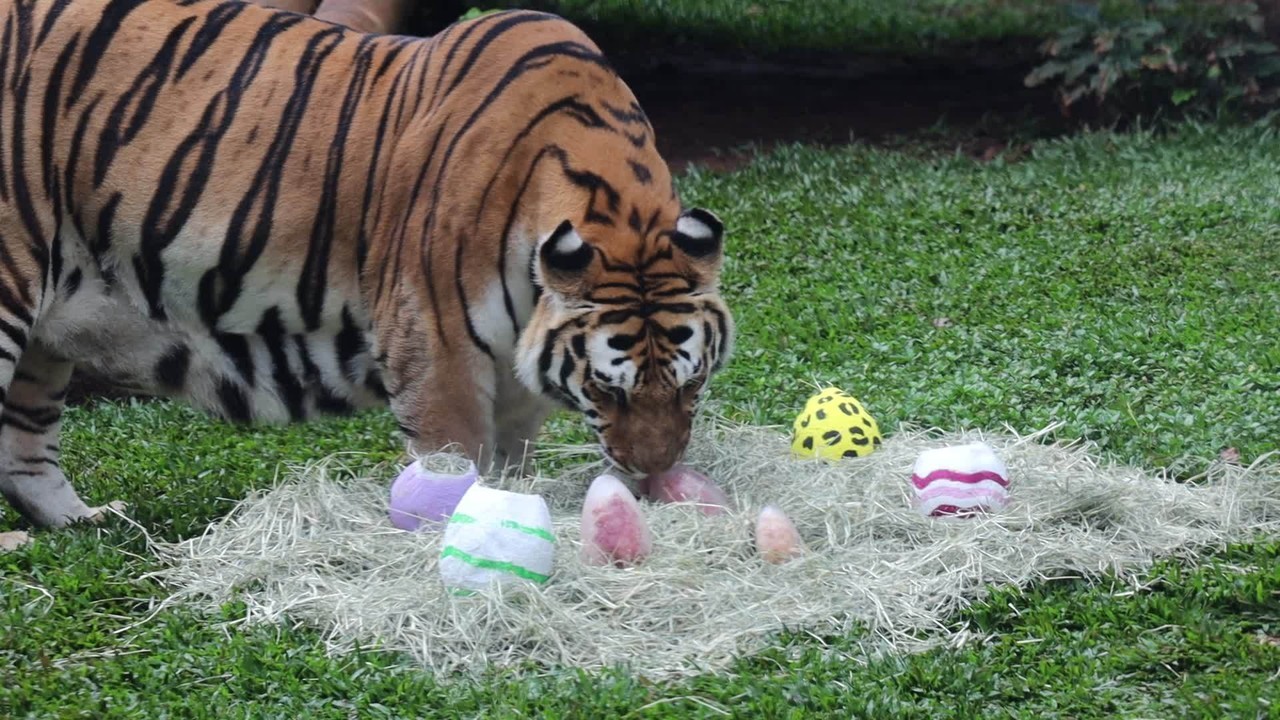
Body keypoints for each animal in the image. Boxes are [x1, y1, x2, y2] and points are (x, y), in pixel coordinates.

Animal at [0, 0, 734, 547]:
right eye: (608, 390)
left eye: (691, 383)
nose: (652, 472)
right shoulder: (436, 353)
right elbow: (454, 467)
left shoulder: (519, 378)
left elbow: (511, 465)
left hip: (47, 332)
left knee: (25, 443)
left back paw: (82, 522)